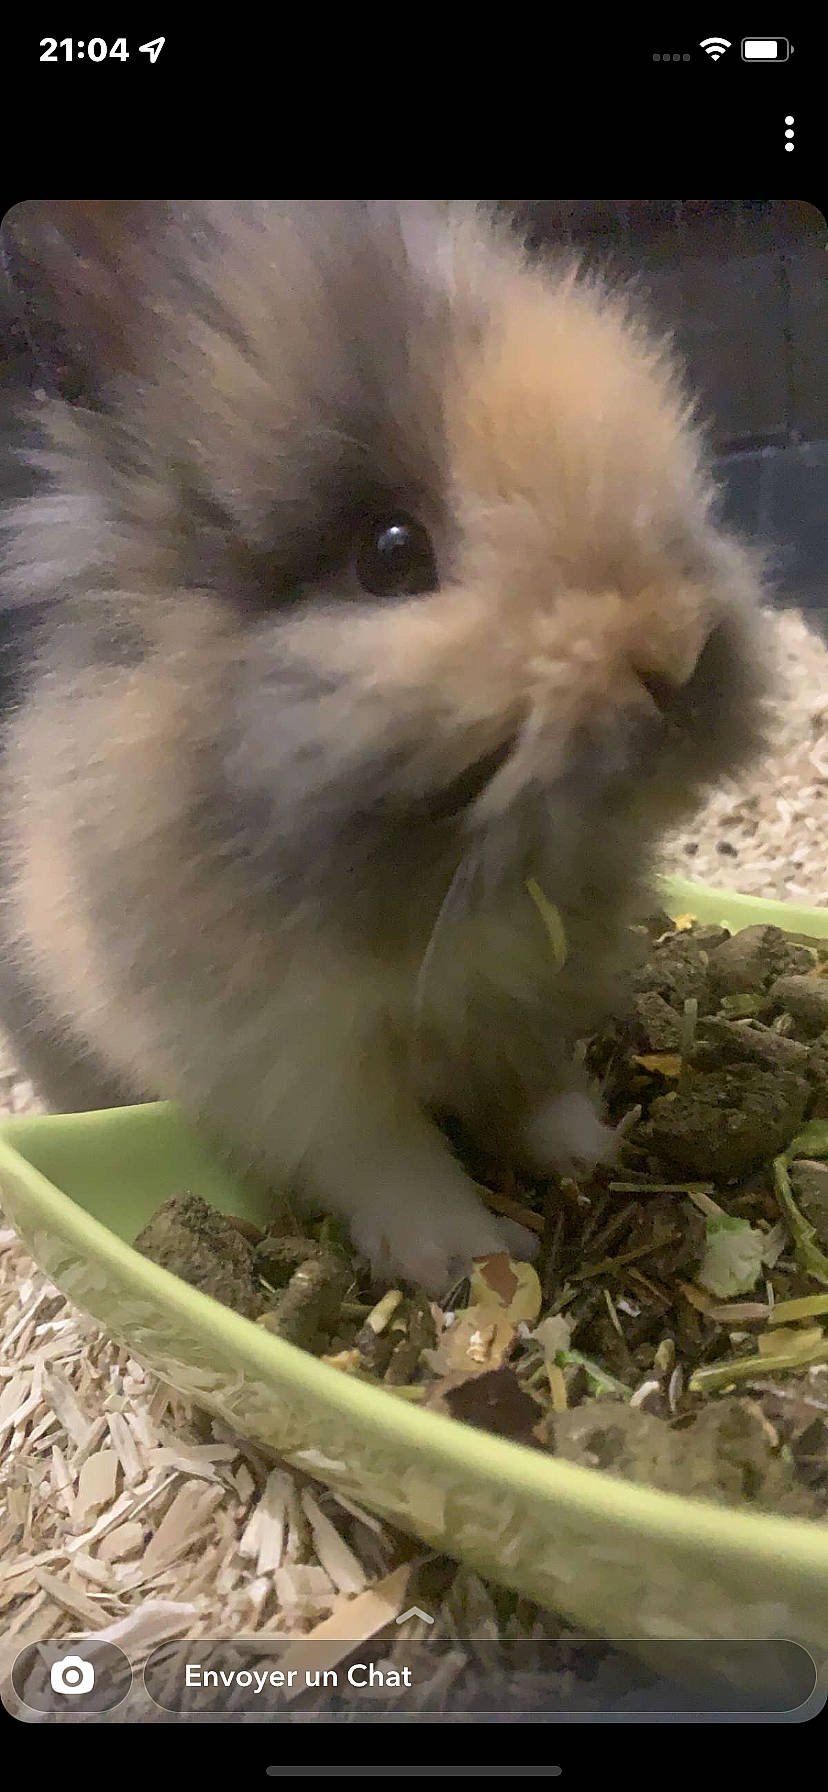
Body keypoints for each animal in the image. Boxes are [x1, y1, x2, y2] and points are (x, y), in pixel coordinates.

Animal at [0, 200, 771, 1293]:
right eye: (392, 552)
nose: (674, 652)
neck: (462, 879)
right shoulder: (294, 1063)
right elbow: (386, 1153)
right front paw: (463, 1254)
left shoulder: (530, 999)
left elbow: (530, 1085)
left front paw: (585, 1147)